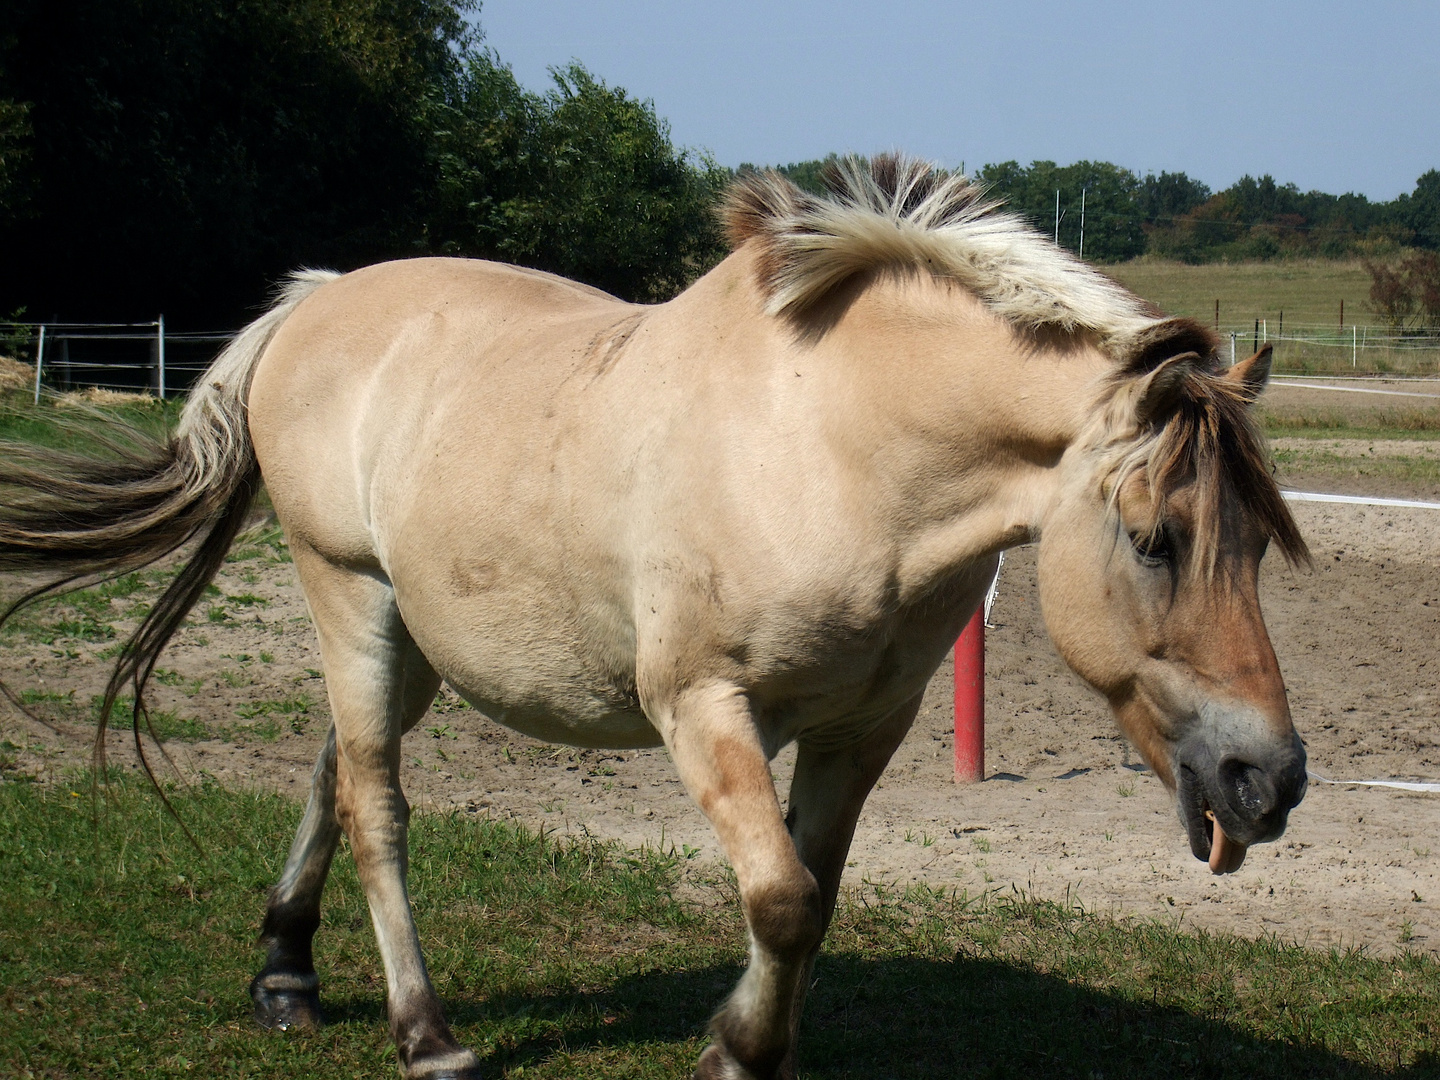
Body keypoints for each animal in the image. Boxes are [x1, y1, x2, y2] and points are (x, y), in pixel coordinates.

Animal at [0, 154, 1307, 1080]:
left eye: (1257, 543)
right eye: (1154, 538)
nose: (1270, 780)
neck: (832, 446)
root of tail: (317, 303)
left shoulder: (863, 727)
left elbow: (814, 896)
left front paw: (758, 1047)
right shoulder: (702, 705)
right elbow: (780, 897)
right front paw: (735, 1054)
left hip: (415, 638)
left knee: (333, 774)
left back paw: (285, 975)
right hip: (350, 598)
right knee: (377, 805)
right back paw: (426, 1036)